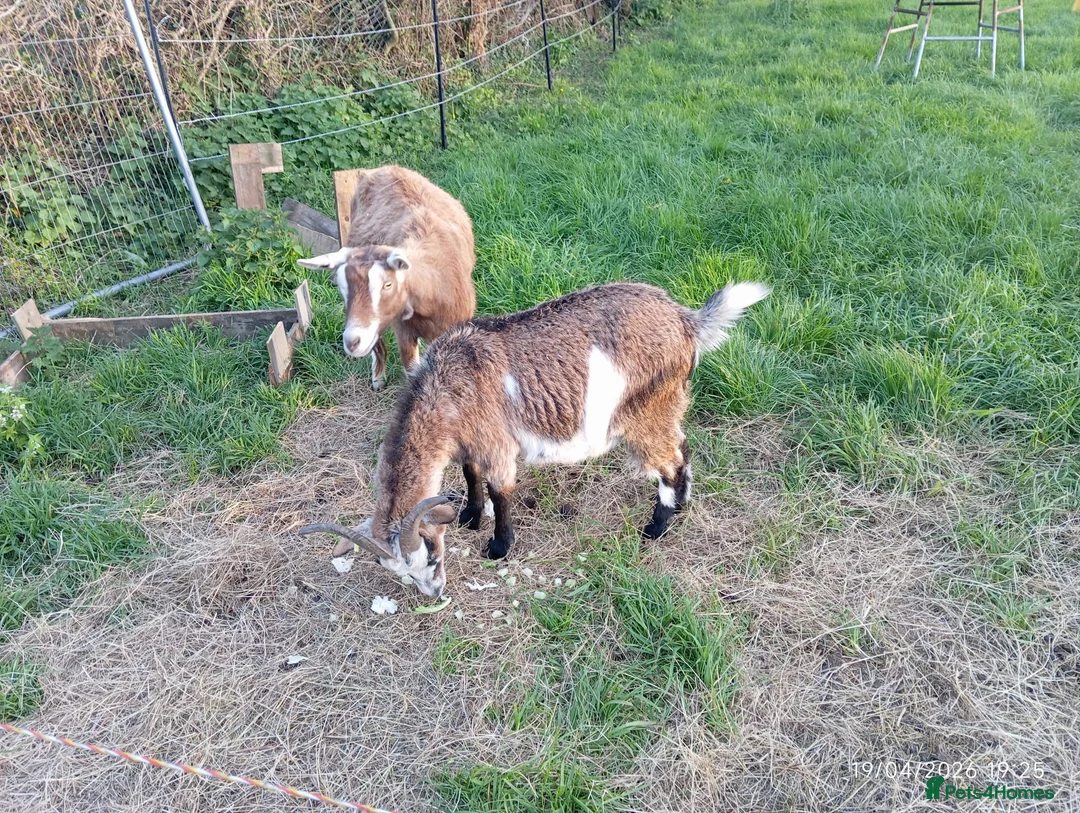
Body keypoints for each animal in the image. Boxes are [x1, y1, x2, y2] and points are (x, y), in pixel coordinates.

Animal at [297, 165, 476, 390]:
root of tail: (383, 168)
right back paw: (378, 378)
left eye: (388, 284)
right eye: (340, 287)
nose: (352, 341)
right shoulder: (404, 333)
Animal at [300, 280, 769, 598]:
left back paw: (655, 527)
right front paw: (470, 516)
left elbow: (500, 489)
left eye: (431, 552)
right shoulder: (471, 443)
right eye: (400, 572)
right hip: (668, 406)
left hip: (646, 410)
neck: (449, 386)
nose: (434, 592)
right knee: (682, 448)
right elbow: (471, 476)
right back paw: (681, 504)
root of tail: (687, 320)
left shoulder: (496, 441)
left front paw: (498, 546)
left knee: (668, 460)